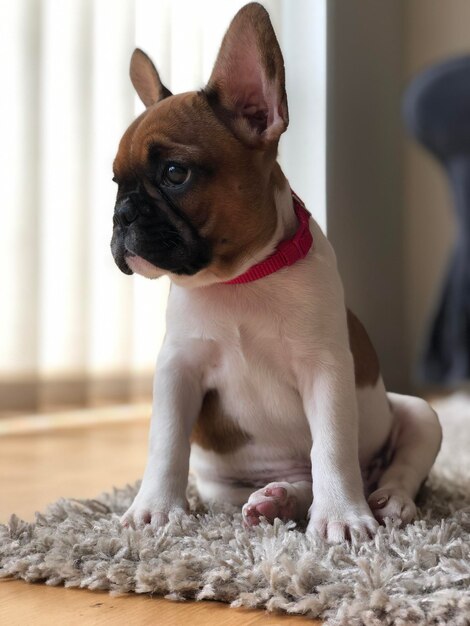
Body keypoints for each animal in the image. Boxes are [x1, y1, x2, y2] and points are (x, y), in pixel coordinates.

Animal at [110, 2, 440, 540]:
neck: (241, 278)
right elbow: (165, 442)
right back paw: (277, 500)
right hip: (221, 486)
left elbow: (331, 446)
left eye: (175, 173)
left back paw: (388, 501)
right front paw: (154, 508)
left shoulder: (325, 369)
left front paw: (342, 517)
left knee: (401, 464)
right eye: (116, 182)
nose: (120, 216)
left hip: (417, 412)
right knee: (290, 483)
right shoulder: (178, 368)